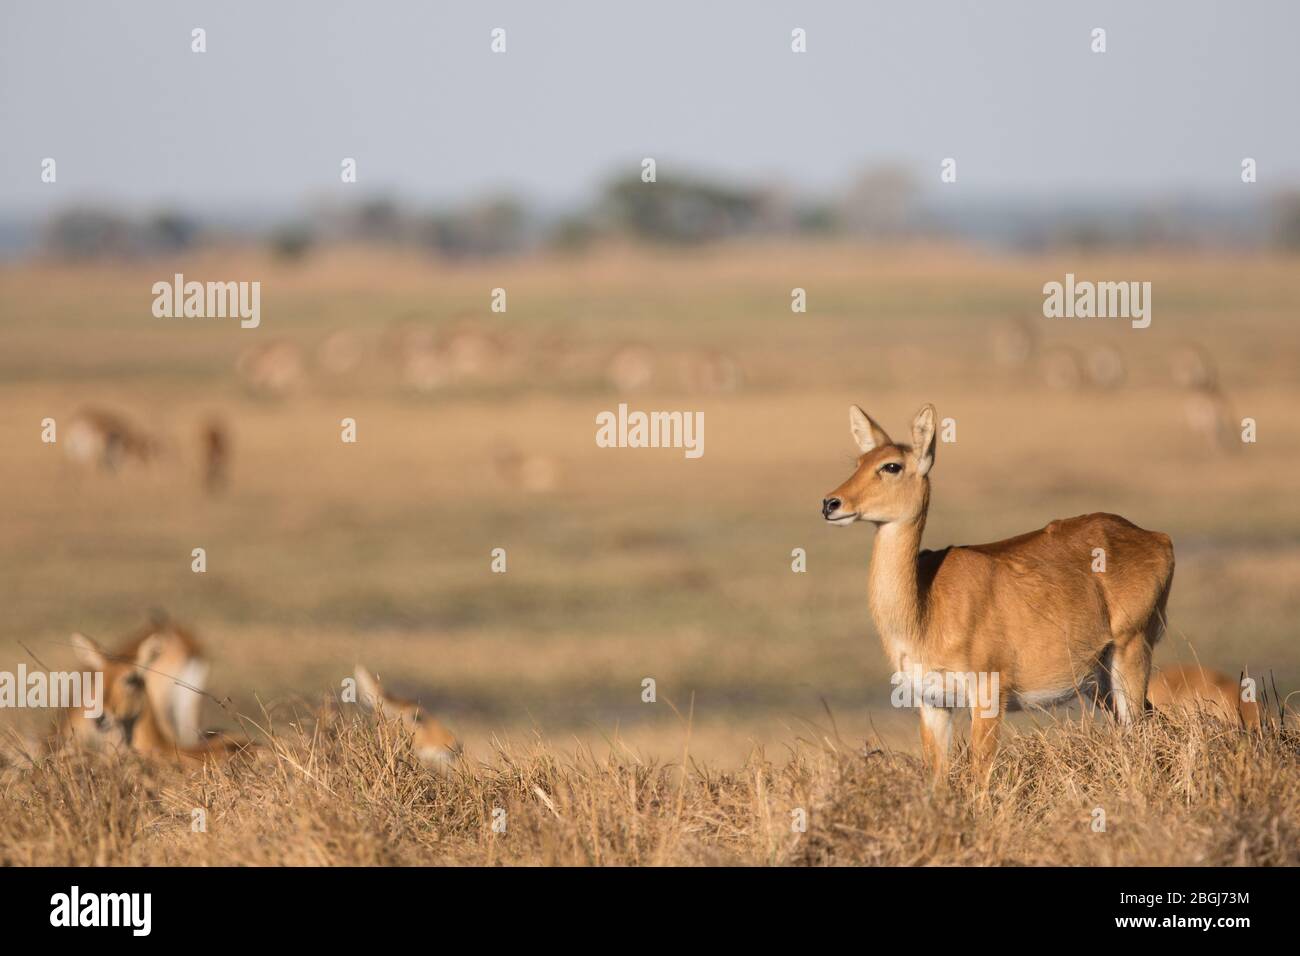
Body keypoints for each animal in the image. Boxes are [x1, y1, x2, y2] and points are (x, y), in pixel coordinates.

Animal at [821, 403, 1180, 785]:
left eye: (891, 465)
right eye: (858, 461)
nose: (831, 503)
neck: (925, 606)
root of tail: (1159, 538)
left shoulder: (988, 695)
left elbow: (980, 774)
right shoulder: (932, 701)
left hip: (1130, 654)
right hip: (1100, 682)